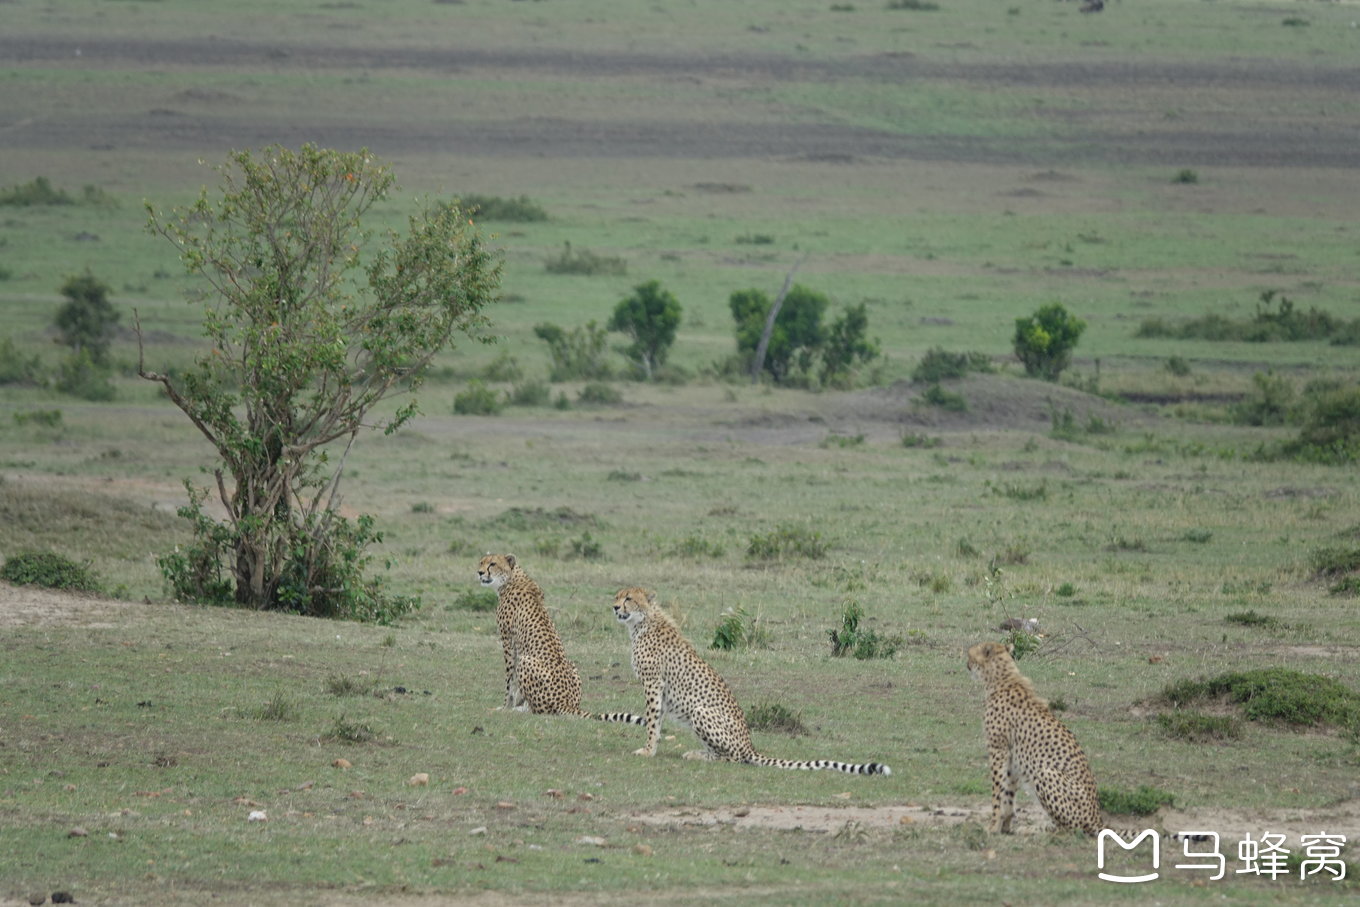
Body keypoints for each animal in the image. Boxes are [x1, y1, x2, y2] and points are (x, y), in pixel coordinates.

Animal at [478, 554, 641, 723]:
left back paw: (520, 709)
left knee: (538, 710)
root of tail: (567, 703)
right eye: (481, 562)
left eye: (493, 564)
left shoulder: (507, 641)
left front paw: (506, 706)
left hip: (526, 660)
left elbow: (509, 680)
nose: (480, 572)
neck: (512, 579)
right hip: (572, 665)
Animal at [614, 592, 892, 777]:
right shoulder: (658, 688)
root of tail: (750, 745)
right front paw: (652, 749)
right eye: (617, 596)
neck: (643, 622)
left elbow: (652, 720)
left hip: (701, 711)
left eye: (629, 598)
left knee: (734, 758)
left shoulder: (652, 684)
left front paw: (647, 751)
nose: (614, 607)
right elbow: (657, 720)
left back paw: (699, 756)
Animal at [968, 641, 1104, 832]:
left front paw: (993, 825)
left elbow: (997, 790)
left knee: (1074, 829)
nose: (967, 664)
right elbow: (1008, 791)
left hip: (1045, 773)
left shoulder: (998, 749)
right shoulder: (1011, 754)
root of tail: (1098, 818)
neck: (1003, 679)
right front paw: (1005, 826)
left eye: (970, 655)